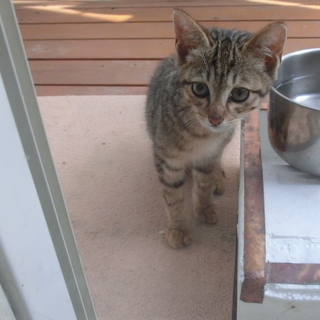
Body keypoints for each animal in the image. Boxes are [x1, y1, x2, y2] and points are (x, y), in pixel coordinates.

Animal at [146, 9, 286, 248]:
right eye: (200, 88)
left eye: (239, 93)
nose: (215, 118)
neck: (202, 136)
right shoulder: (167, 159)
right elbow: (174, 196)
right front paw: (179, 227)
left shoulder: (209, 156)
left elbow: (203, 182)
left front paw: (204, 207)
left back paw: (218, 177)